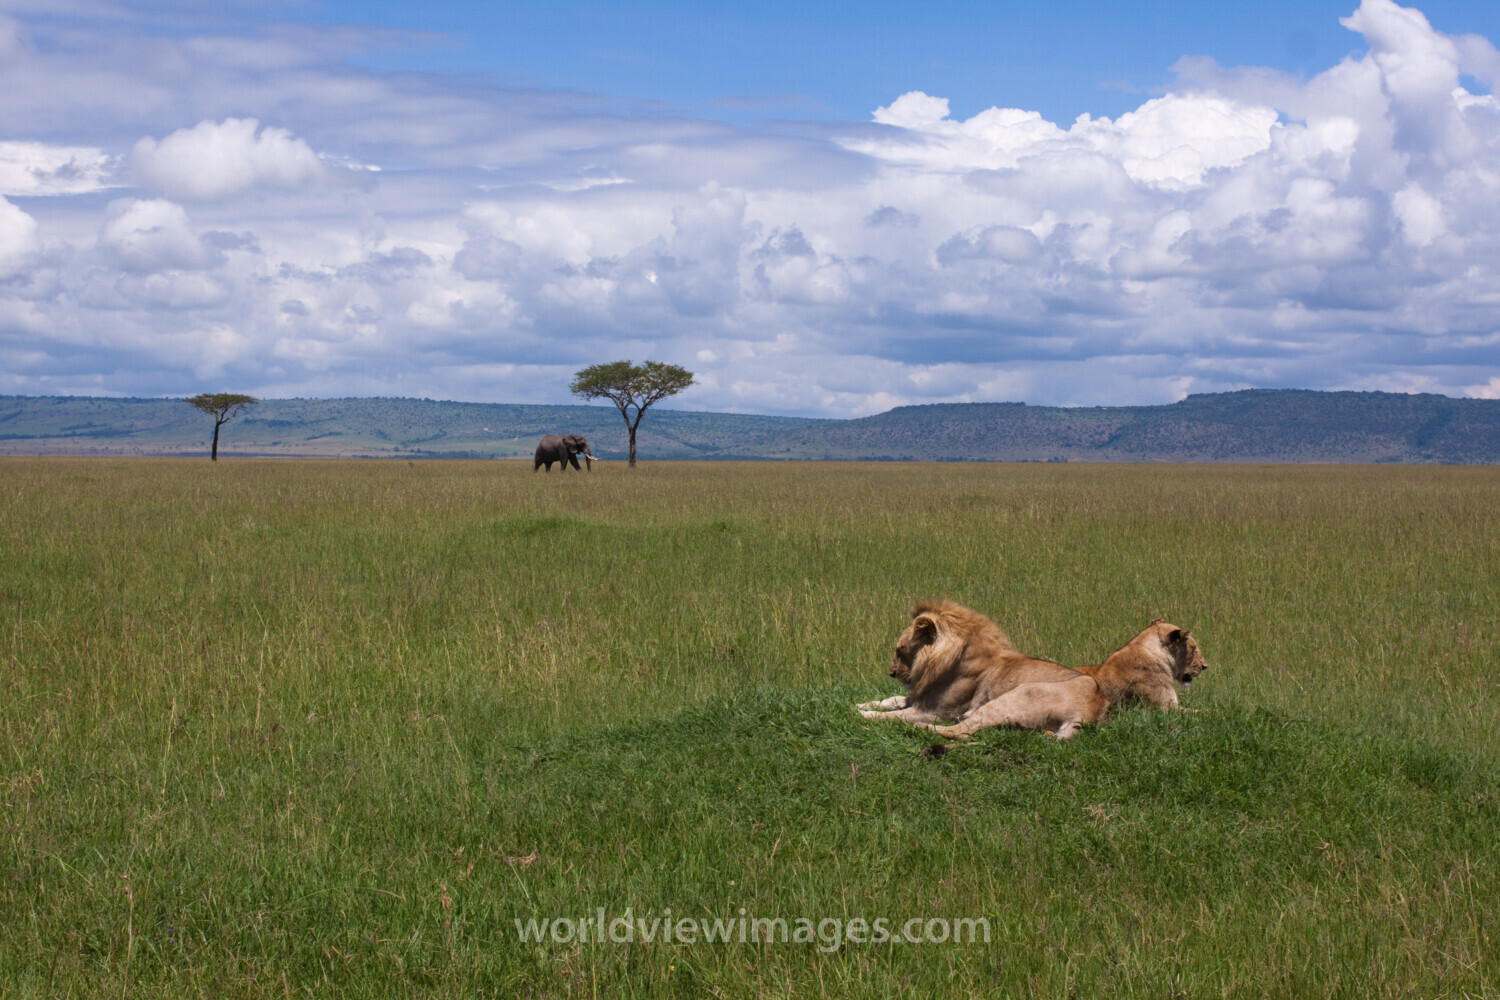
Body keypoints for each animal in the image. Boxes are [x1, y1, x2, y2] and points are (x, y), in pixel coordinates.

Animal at [857, 600, 1109, 741]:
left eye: (900, 650)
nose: (891, 673)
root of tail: (1096, 706)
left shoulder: (934, 710)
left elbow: (895, 715)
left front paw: (862, 714)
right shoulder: (922, 696)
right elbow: (892, 699)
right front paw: (862, 704)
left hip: (1015, 696)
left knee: (959, 732)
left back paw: (921, 727)